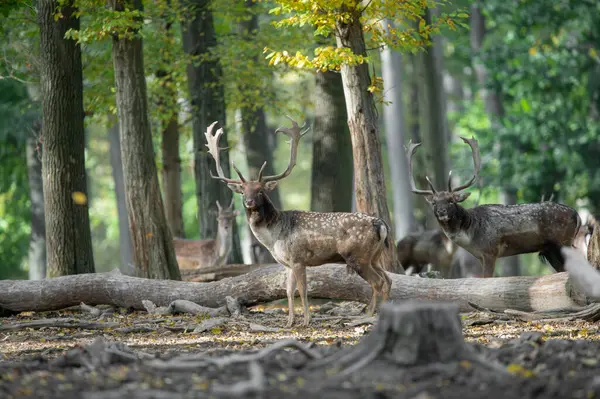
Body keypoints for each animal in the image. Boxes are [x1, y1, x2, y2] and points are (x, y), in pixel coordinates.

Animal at [204, 116, 392, 328]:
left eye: (260, 190)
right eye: (243, 191)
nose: (249, 202)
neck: (273, 237)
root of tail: (381, 224)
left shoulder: (298, 258)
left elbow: (302, 290)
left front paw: (306, 321)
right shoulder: (286, 263)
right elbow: (288, 290)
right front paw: (289, 322)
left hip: (357, 255)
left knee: (378, 282)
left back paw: (369, 316)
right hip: (374, 256)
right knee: (388, 280)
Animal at [406, 138, 584, 278]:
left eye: (451, 201)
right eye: (434, 202)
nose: (441, 211)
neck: (470, 235)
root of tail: (577, 215)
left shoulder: (490, 251)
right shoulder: (480, 256)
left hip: (564, 241)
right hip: (550, 249)